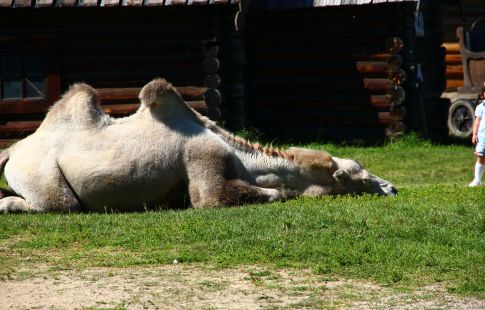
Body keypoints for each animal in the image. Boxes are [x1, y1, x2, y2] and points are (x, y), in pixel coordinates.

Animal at [0, 78, 396, 213]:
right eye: (360, 178)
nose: (392, 187)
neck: (241, 159)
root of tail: (13, 150)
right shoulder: (204, 159)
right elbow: (220, 197)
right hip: (44, 179)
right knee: (58, 204)